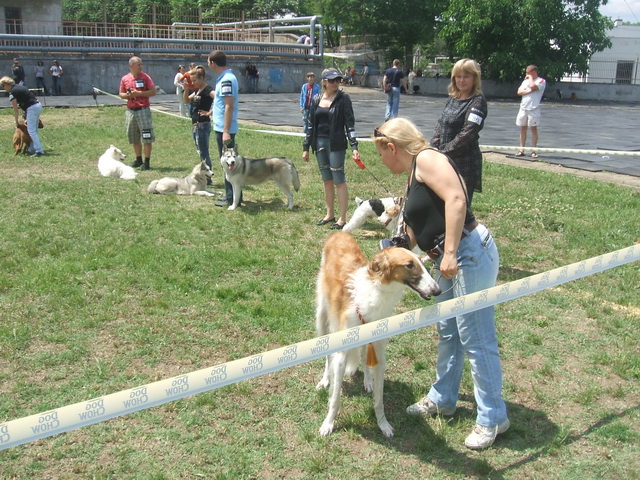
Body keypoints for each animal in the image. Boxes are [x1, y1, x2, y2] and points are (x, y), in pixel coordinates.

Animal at [315, 232, 441, 437]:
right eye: (409, 265)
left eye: (422, 261)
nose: (437, 290)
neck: (375, 294)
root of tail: (341, 233)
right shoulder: (342, 352)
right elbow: (335, 397)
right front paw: (328, 423)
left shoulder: (380, 351)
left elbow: (379, 399)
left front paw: (383, 425)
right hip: (323, 318)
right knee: (328, 356)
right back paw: (325, 380)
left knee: (364, 355)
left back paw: (367, 381)